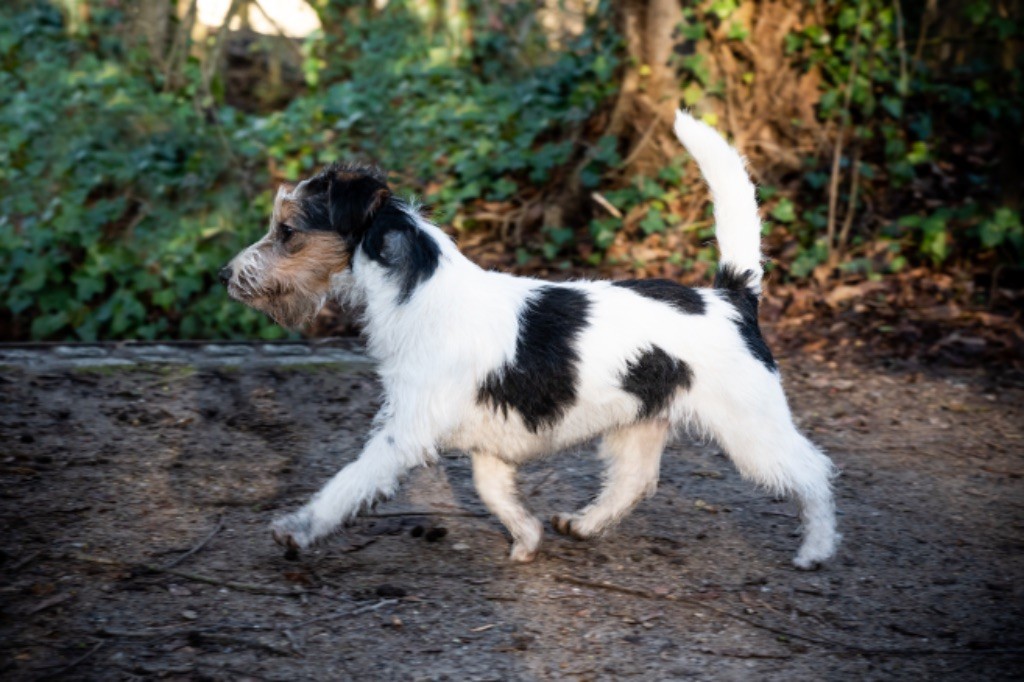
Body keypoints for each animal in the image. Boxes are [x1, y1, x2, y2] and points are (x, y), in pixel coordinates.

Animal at [222, 111, 839, 569]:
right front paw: (527, 537)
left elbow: (347, 484)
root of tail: (731, 296)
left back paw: (816, 549)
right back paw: (585, 523)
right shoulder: (484, 442)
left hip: (750, 430)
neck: (419, 291)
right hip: (639, 421)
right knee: (635, 480)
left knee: (814, 470)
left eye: (287, 231)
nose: (226, 275)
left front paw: (297, 529)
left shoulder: (402, 433)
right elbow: (493, 491)